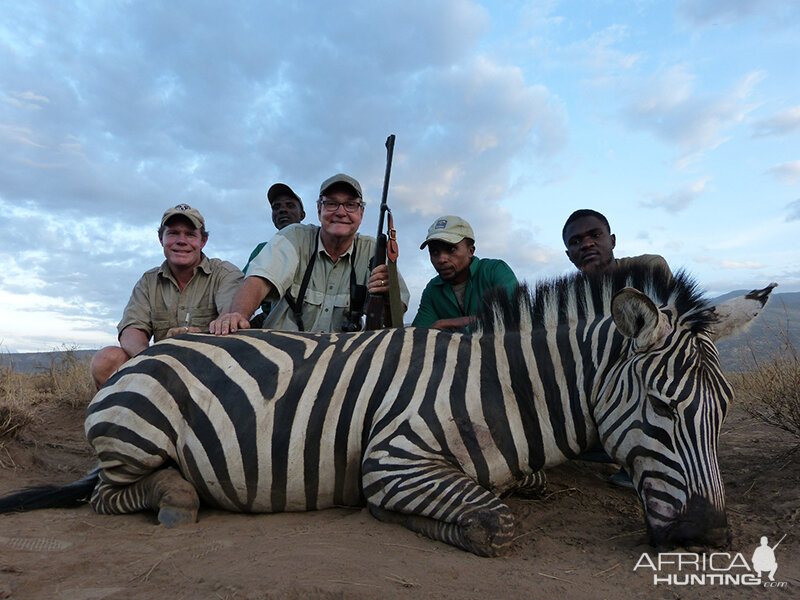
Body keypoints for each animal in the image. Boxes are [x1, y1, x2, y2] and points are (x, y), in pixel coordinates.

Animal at [0, 268, 776, 556]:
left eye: (725, 409)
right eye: (660, 406)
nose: (710, 537)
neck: (506, 390)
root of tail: (148, 354)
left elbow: (523, 487)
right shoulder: (392, 457)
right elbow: (493, 524)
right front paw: (410, 519)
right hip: (135, 435)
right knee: (112, 494)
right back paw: (176, 495)